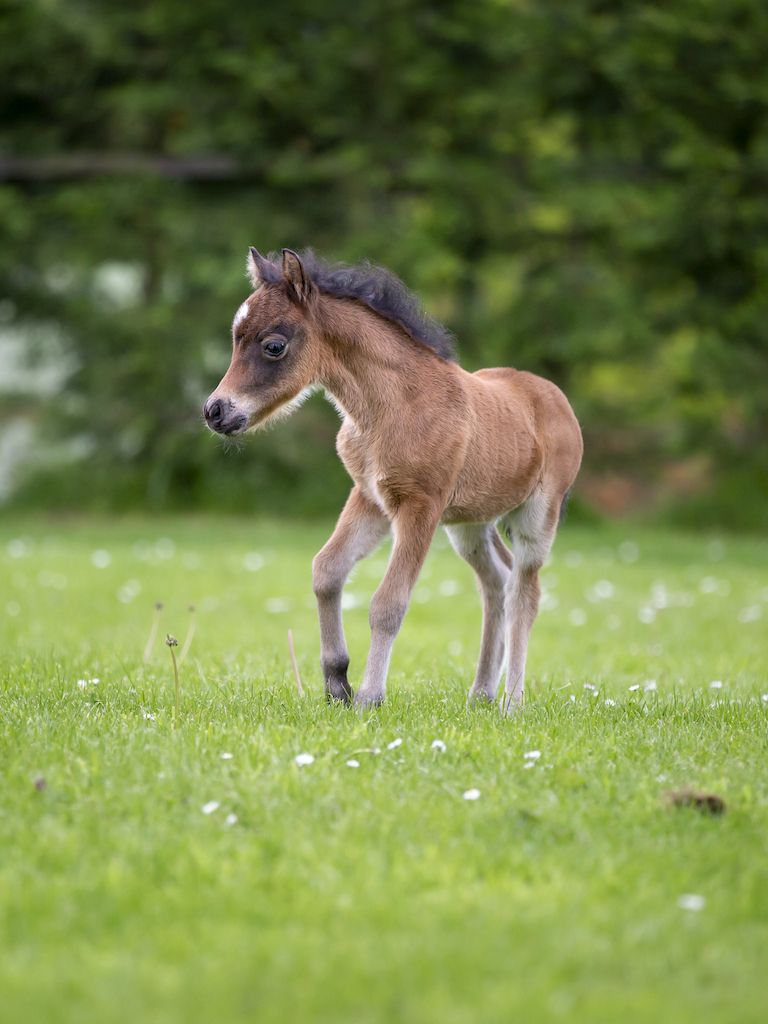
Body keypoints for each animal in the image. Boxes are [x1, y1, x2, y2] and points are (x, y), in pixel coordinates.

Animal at [204, 248, 583, 712]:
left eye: (274, 345)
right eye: (235, 338)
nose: (215, 411)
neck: (388, 407)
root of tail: (552, 394)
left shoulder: (420, 504)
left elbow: (388, 603)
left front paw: (369, 696)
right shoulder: (370, 497)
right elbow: (326, 571)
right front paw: (337, 682)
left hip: (538, 514)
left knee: (524, 593)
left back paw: (511, 702)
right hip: (471, 523)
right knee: (496, 582)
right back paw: (481, 693)